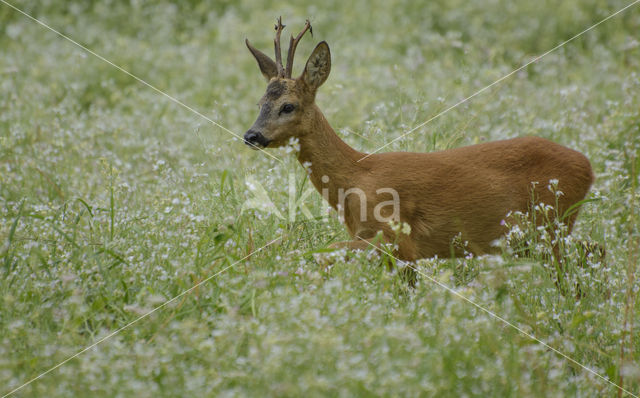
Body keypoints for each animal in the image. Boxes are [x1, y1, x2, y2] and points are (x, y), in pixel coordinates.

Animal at [244, 18, 596, 262]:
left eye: (288, 105)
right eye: (259, 103)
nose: (251, 135)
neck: (356, 176)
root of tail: (587, 164)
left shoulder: (397, 237)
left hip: (552, 223)